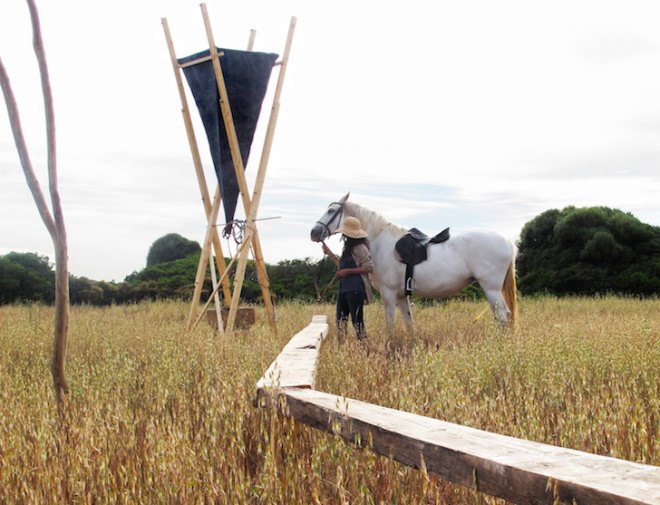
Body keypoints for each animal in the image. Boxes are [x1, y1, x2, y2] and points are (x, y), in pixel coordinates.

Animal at [310, 193, 517, 332]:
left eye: (331, 210)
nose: (314, 233)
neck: (380, 242)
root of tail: (507, 241)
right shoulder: (402, 296)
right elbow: (409, 324)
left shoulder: (388, 294)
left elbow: (390, 324)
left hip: (491, 288)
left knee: (503, 316)